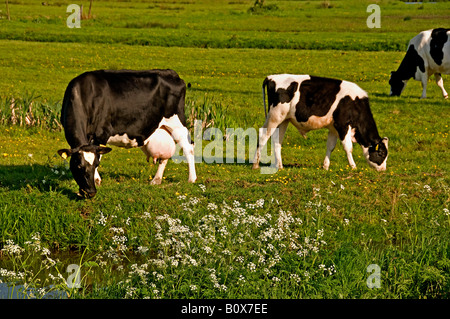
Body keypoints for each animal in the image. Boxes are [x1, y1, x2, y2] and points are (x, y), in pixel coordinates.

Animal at [57, 70, 196, 198]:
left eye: (96, 164)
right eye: (78, 166)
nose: (90, 192)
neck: (82, 95)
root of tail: (172, 73)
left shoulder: (102, 133)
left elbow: (99, 154)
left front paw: (97, 180)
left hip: (177, 124)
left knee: (189, 148)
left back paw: (192, 179)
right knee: (165, 155)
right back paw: (156, 180)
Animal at [251, 74, 388, 172]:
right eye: (381, 153)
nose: (383, 169)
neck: (355, 104)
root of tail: (271, 77)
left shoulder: (333, 127)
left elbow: (330, 146)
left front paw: (325, 166)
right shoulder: (342, 125)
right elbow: (348, 147)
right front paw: (353, 166)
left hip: (284, 120)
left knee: (277, 140)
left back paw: (279, 166)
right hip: (274, 117)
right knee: (263, 135)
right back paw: (255, 164)